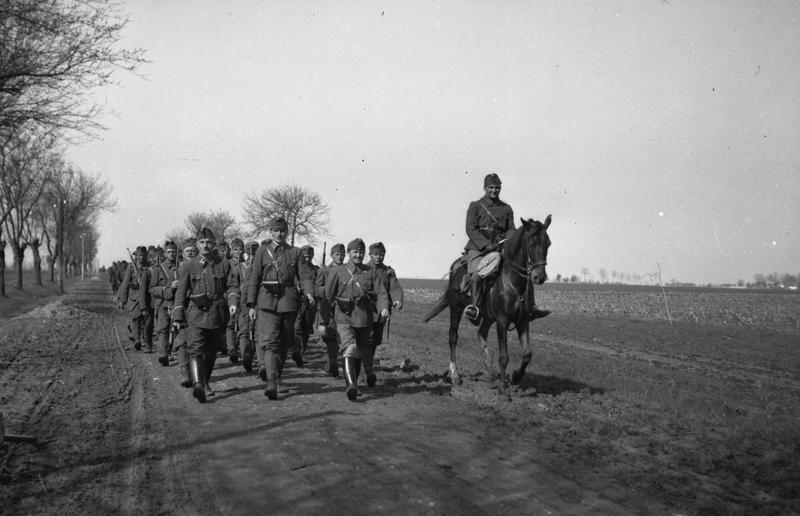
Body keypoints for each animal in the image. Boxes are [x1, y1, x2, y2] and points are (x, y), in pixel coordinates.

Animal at [424, 216, 552, 394]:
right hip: (456, 308)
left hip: (487, 316)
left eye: (548, 243)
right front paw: (503, 390)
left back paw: (490, 371)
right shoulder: (502, 321)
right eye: (532, 243)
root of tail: (456, 265)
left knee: (481, 333)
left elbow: (527, 354)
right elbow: (504, 356)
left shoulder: (523, 321)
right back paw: (455, 375)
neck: (511, 281)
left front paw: (516, 377)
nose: (539, 277)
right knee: (453, 337)